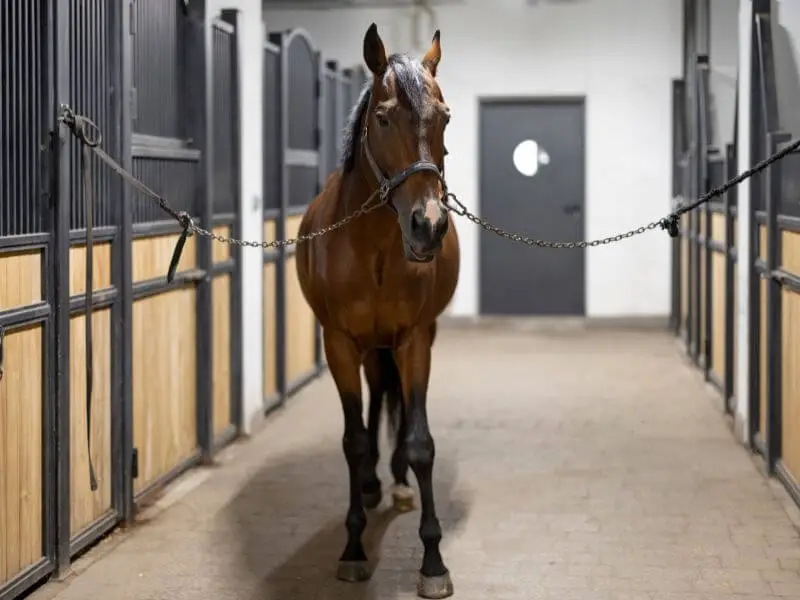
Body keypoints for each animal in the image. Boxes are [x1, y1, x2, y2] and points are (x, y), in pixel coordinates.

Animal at [296, 21, 460, 596]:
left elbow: (420, 441)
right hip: (366, 347)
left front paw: (432, 560)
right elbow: (354, 441)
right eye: (383, 117)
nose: (428, 226)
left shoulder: (415, 339)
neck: (373, 249)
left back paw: (398, 483)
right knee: (372, 405)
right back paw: (369, 487)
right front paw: (352, 547)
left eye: (445, 116)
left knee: (395, 401)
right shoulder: (340, 344)